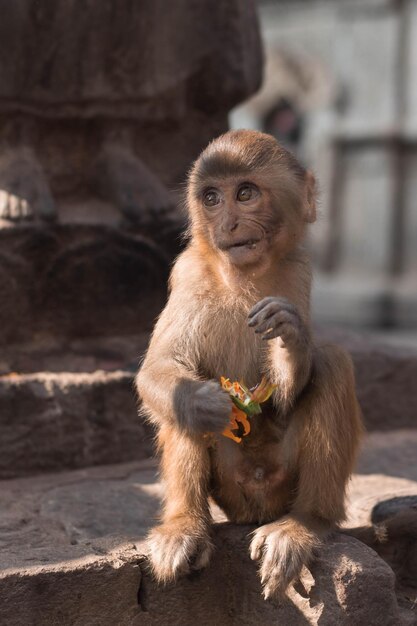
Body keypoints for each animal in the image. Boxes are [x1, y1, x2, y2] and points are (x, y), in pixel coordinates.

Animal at [136, 128, 360, 600]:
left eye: (245, 194)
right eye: (211, 198)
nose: (227, 225)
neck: (242, 276)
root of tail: (256, 505)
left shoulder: (298, 271)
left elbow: (293, 384)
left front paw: (290, 336)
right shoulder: (188, 273)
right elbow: (163, 369)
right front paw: (199, 401)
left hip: (282, 481)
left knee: (333, 362)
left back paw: (304, 525)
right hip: (229, 484)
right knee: (181, 398)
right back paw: (185, 527)